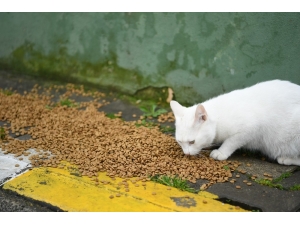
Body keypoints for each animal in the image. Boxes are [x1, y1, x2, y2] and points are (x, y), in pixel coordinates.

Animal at [170, 79, 300, 165]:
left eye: (192, 142)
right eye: (180, 142)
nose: (186, 153)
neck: (218, 117)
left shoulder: (251, 128)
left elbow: (231, 142)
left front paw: (221, 152)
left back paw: (286, 159)